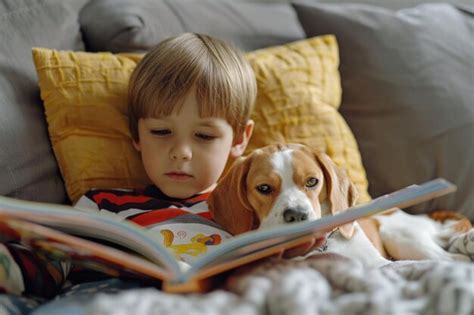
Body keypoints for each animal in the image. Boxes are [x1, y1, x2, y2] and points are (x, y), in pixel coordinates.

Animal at [209, 144, 472, 268]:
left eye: (312, 181)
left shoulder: (381, 265)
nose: (297, 215)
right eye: (264, 188)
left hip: (401, 238)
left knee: (454, 260)